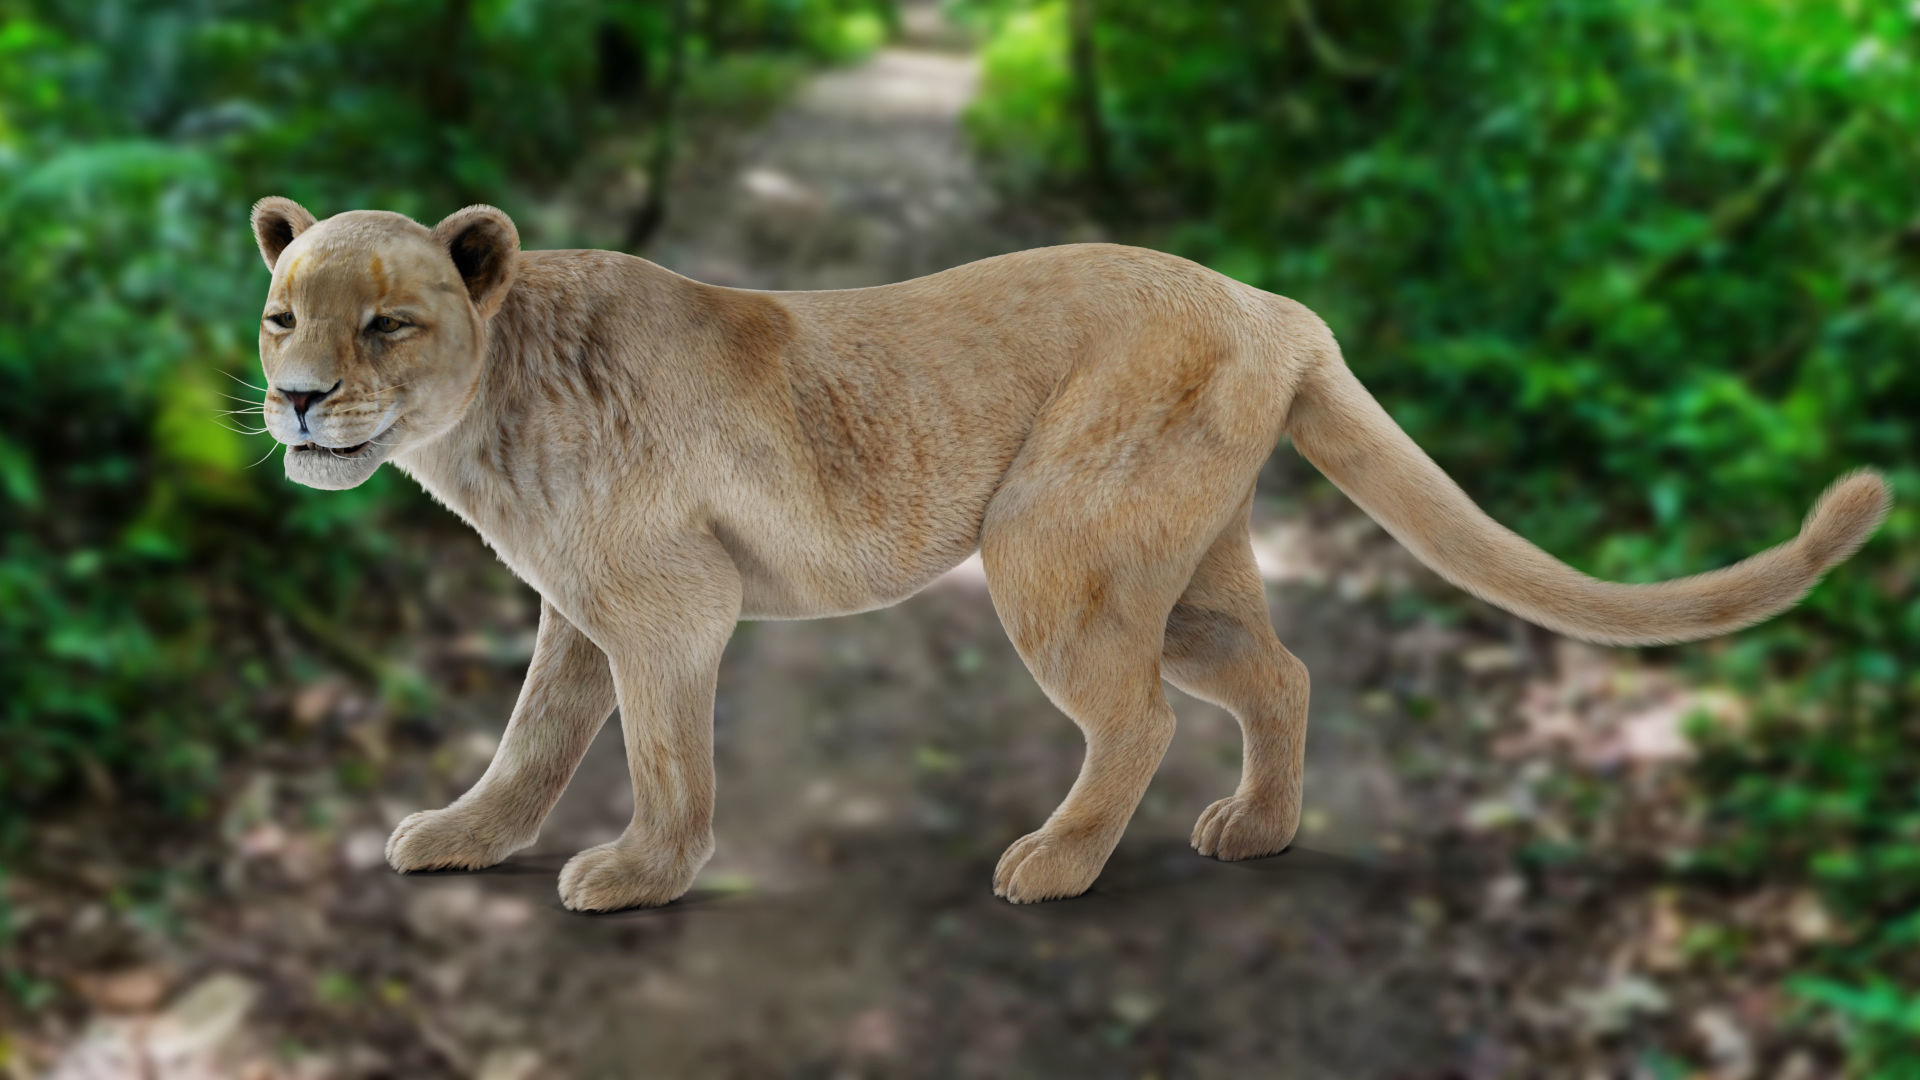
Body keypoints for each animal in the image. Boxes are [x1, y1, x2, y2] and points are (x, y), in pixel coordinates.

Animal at [247, 197, 1890, 908]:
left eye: (385, 321)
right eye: (283, 313)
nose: (297, 396)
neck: (488, 417)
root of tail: (1272, 303)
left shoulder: (667, 608)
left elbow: (658, 754)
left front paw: (642, 873)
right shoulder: (586, 611)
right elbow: (531, 741)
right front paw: (464, 839)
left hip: (1051, 547)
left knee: (1147, 714)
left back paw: (1055, 863)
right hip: (1180, 568)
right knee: (1278, 674)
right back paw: (1259, 831)